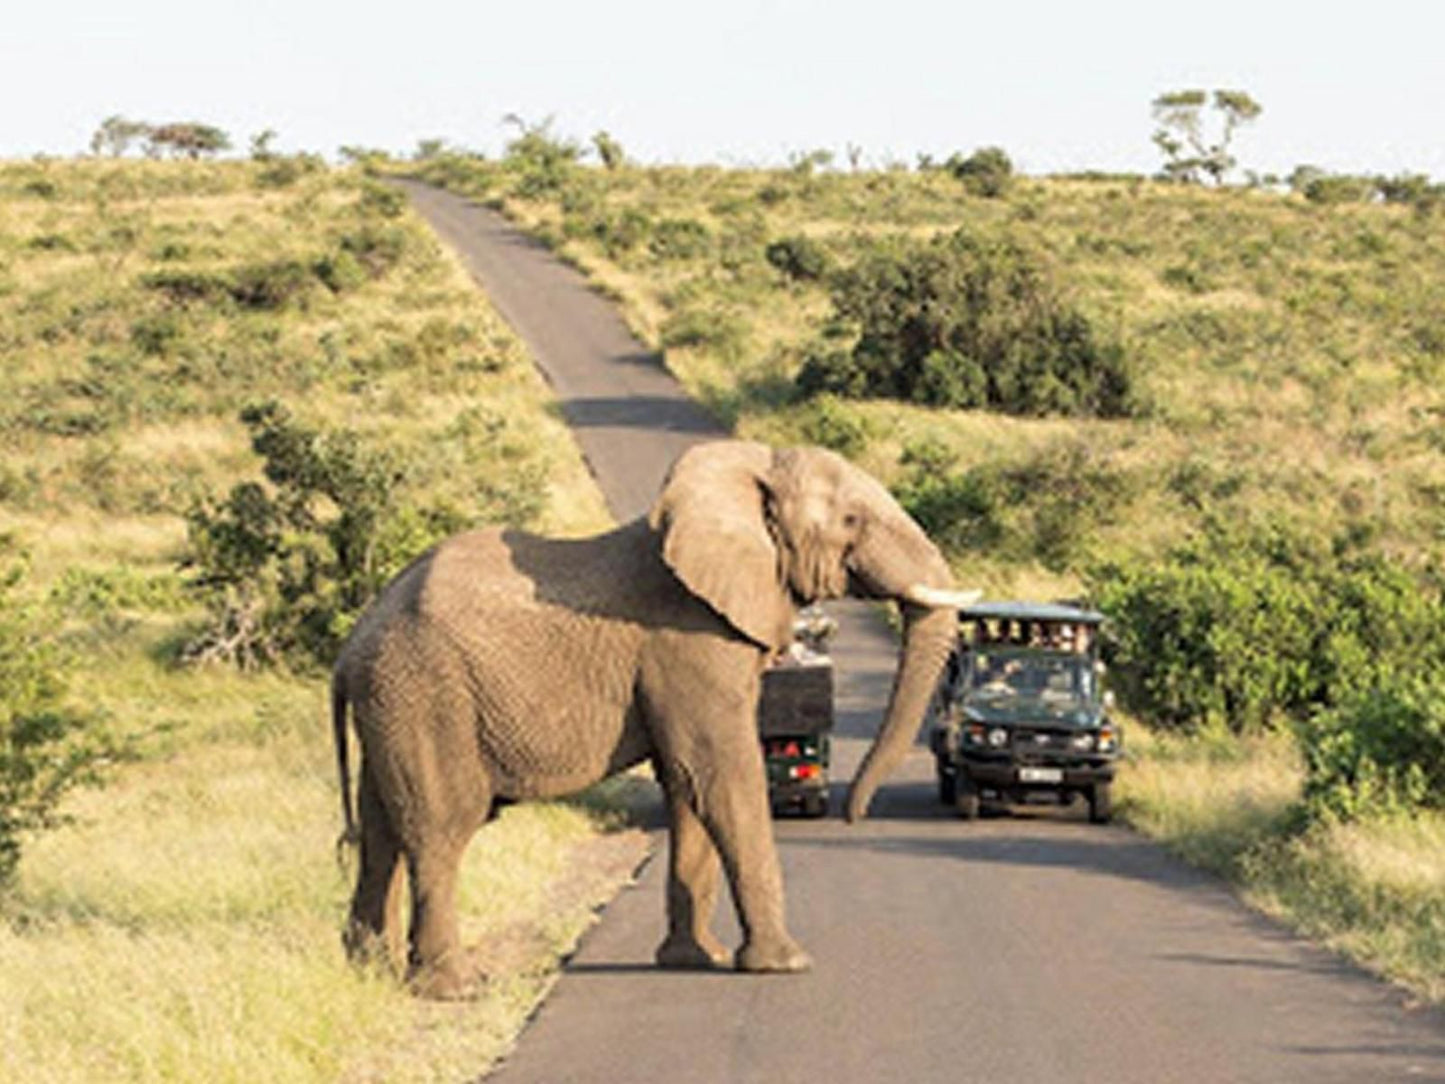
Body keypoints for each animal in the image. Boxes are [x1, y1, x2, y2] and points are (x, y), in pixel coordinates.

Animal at [332, 436, 976, 1000]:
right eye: (850, 520)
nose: (851, 816)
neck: (744, 478)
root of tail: (351, 646)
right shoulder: (688, 640)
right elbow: (720, 772)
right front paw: (785, 964)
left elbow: (687, 784)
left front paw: (697, 960)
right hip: (426, 694)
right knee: (440, 830)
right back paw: (455, 988)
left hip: (391, 704)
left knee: (381, 832)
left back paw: (369, 975)